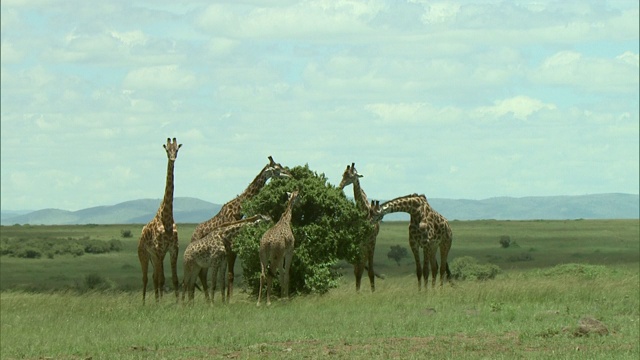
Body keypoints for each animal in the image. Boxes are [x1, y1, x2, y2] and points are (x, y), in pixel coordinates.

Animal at [138, 138, 181, 304]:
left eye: (177, 149)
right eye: (167, 150)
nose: (172, 159)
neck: (167, 218)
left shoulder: (173, 249)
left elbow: (174, 279)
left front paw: (179, 304)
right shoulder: (159, 250)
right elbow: (161, 280)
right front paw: (159, 304)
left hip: (153, 257)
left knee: (153, 276)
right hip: (143, 254)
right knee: (146, 278)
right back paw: (144, 302)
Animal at [190, 155, 290, 300]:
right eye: (277, 168)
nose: (289, 174)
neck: (237, 209)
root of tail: (193, 235)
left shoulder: (234, 249)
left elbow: (229, 274)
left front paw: (228, 299)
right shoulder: (230, 249)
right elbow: (229, 275)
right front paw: (229, 300)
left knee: (201, 274)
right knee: (199, 274)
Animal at [340, 162, 380, 292]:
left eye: (351, 176)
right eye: (343, 174)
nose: (340, 186)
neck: (364, 211)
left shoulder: (372, 242)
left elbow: (371, 271)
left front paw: (373, 292)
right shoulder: (358, 242)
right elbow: (358, 271)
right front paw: (357, 293)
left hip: (366, 247)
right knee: (358, 269)